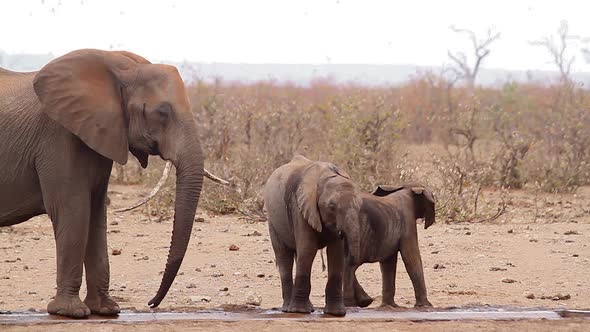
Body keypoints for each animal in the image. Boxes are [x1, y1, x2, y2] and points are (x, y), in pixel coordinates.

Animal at [0, 50, 224, 320]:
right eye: (162, 112)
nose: (151, 303)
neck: (120, 69)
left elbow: (97, 214)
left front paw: (106, 310)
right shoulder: (58, 138)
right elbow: (73, 211)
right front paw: (70, 312)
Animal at [266, 156, 364, 316]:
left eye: (360, 206)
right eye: (331, 207)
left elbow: (336, 253)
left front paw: (336, 314)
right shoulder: (300, 207)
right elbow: (308, 249)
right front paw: (299, 312)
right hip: (273, 222)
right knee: (285, 258)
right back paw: (288, 309)